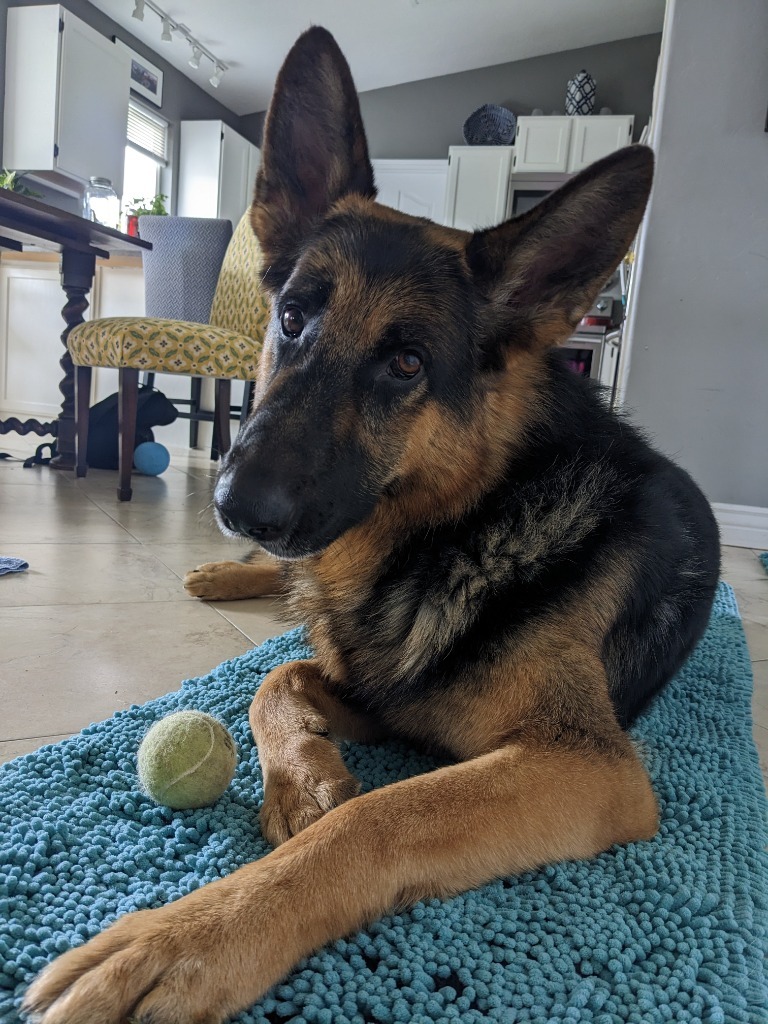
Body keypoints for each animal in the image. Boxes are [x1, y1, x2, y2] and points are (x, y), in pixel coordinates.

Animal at [25, 24, 720, 1024]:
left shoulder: (587, 766)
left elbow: (379, 816)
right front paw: (305, 779)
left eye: (406, 364)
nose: (237, 505)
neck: (460, 527)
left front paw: (186, 939)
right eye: (290, 316)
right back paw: (226, 574)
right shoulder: (373, 688)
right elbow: (276, 678)